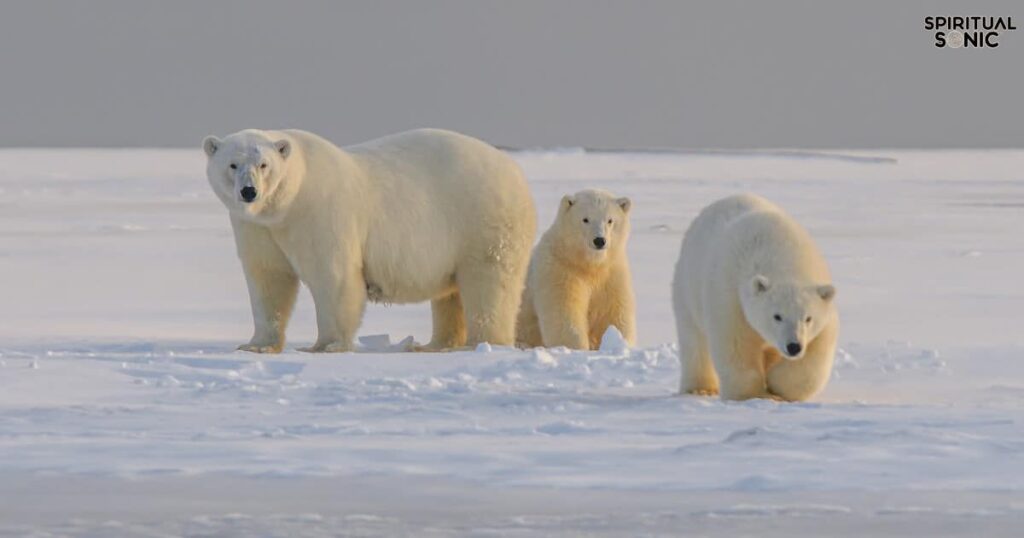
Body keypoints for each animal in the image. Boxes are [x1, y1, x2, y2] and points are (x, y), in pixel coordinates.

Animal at [199, 127, 536, 350]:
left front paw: (326, 345)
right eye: (232, 164)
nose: (249, 191)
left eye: (264, 164)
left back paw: (484, 342)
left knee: (489, 283)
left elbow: (333, 277)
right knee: (450, 294)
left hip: (481, 220)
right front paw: (256, 345)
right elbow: (268, 279)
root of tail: (515, 171)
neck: (288, 203)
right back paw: (435, 344)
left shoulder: (320, 213)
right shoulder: (257, 228)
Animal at [520, 188, 630, 348]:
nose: (599, 240)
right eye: (585, 219)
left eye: (610, 220)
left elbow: (613, 313)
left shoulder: (611, 273)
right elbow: (564, 313)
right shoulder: (560, 270)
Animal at [671, 192, 839, 397]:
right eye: (777, 316)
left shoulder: (824, 311)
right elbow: (736, 345)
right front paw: (753, 394)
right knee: (694, 340)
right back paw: (700, 388)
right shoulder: (730, 298)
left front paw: (776, 385)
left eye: (808, 318)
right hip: (687, 287)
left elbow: (816, 353)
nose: (793, 347)